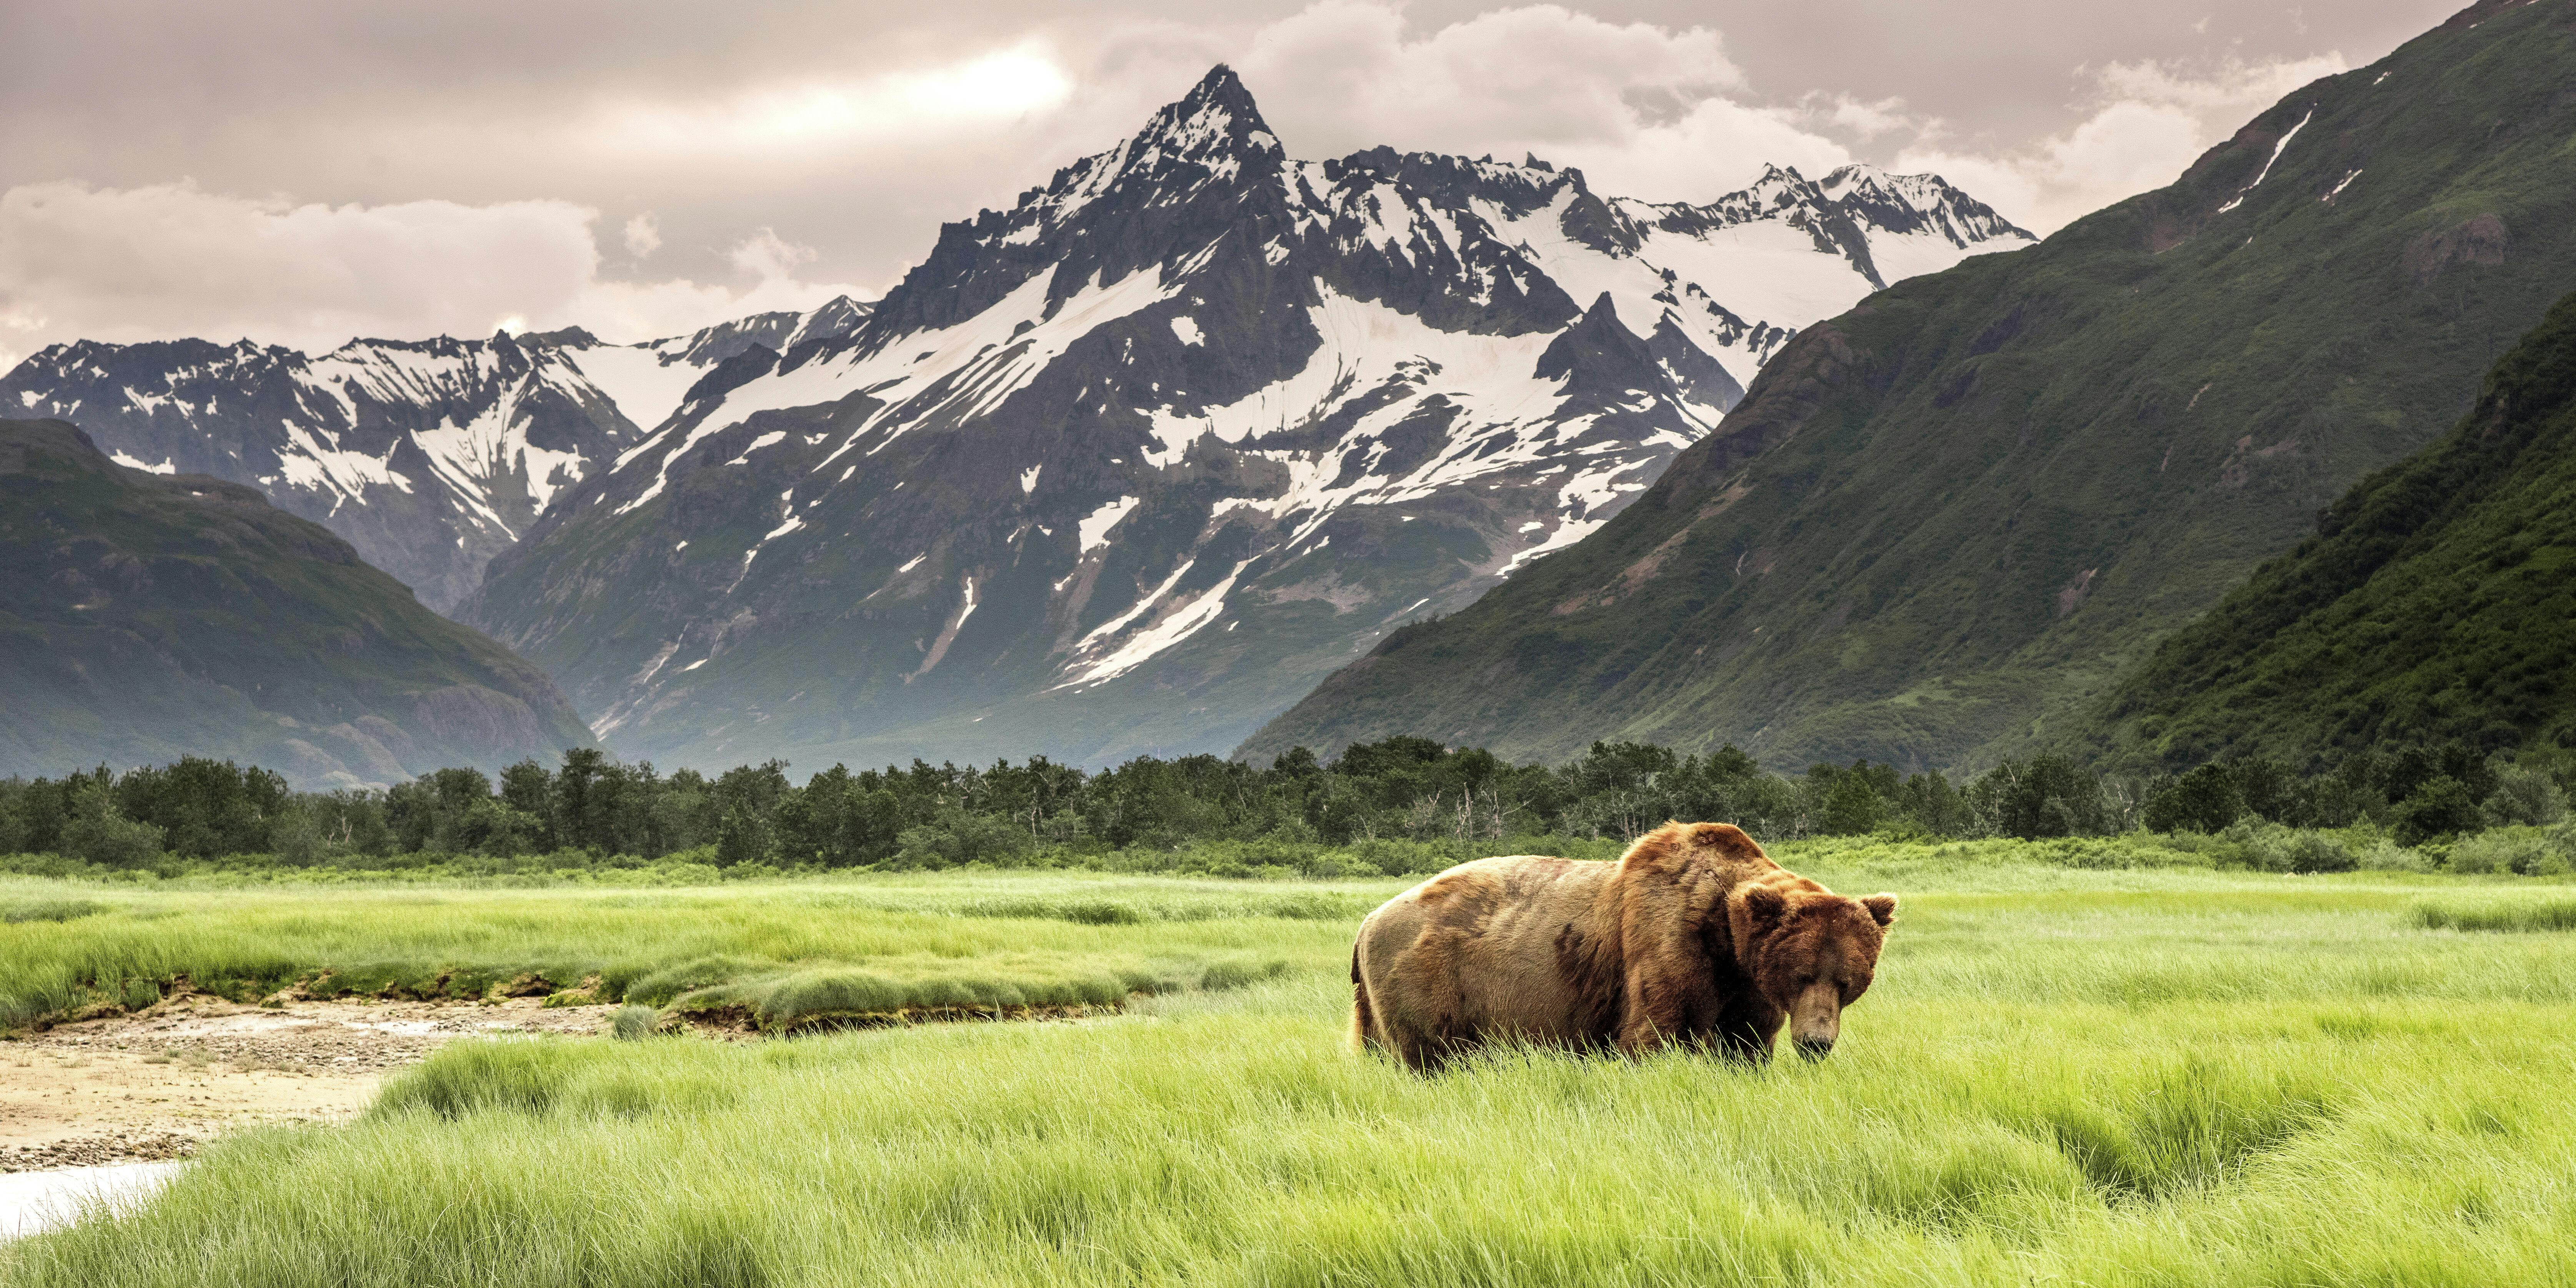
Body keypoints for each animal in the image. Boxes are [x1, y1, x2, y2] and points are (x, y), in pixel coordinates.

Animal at [1349, 821, 1895, 1071]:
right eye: (1802, 974)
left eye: (1848, 981)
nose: (1817, 1043)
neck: (1726, 937)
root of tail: (1367, 921)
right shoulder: (1667, 940)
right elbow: (1654, 1033)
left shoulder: (1745, 986)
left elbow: (1745, 1042)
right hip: (1431, 976)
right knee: (1431, 1055)